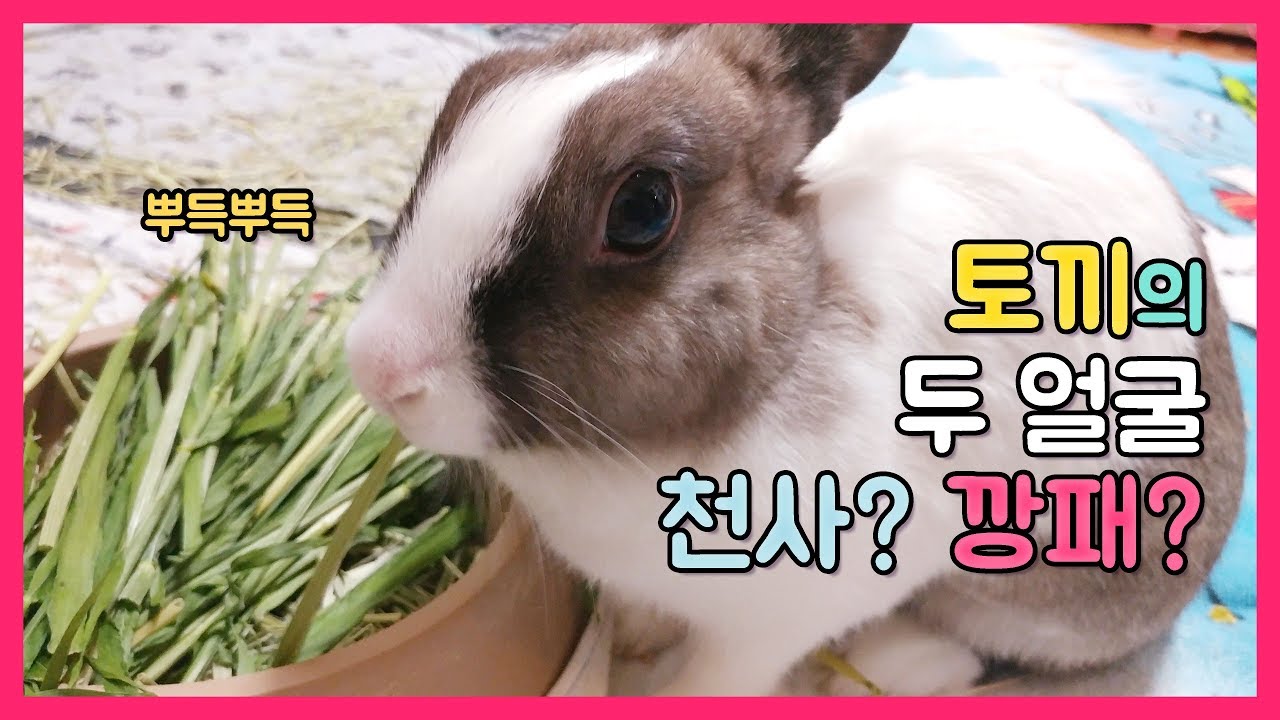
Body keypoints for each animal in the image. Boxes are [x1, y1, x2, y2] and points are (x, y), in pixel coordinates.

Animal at [344, 24, 1245, 696]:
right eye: (468, 95)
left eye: (642, 210)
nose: (379, 369)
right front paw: (629, 642)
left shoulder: (786, 612)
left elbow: (719, 678)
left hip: (1045, 582)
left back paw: (894, 666)